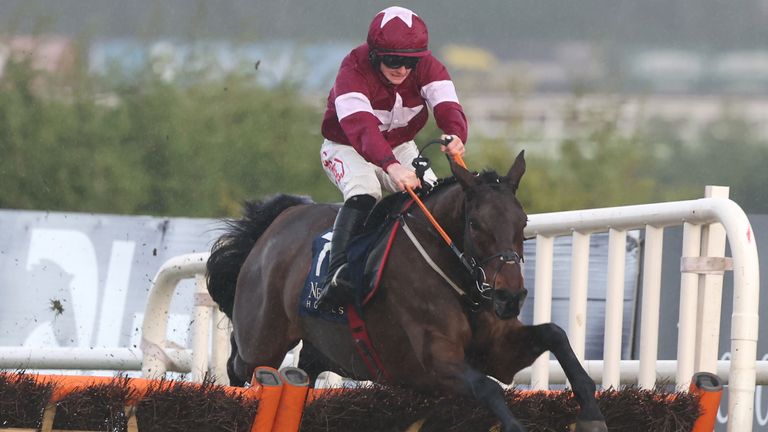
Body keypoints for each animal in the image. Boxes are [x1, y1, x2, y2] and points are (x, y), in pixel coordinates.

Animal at [204, 150, 608, 430]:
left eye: (522, 222)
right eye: (475, 224)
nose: (510, 297)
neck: (461, 282)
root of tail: (279, 220)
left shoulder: (500, 351)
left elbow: (555, 335)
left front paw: (592, 412)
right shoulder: (434, 361)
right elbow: (488, 388)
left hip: (319, 348)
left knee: (303, 373)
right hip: (262, 341)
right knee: (239, 366)